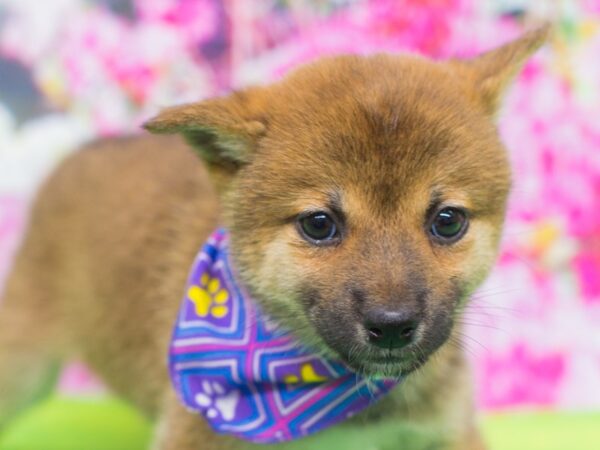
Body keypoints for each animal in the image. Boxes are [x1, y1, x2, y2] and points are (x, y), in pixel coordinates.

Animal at [0, 25, 548, 450]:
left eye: (448, 221)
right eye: (319, 224)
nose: (392, 325)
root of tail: (82, 152)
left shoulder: (446, 430)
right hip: (22, 360)